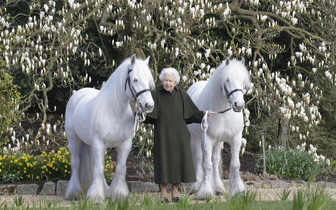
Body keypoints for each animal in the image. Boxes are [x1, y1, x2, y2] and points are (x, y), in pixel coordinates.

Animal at [64, 55, 155, 203]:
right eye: (135, 79)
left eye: (148, 80)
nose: (149, 105)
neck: (115, 111)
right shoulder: (99, 143)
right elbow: (99, 169)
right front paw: (95, 197)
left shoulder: (125, 144)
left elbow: (120, 168)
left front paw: (119, 194)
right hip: (73, 138)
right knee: (76, 163)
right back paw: (74, 193)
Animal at [188, 57, 251, 200]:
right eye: (227, 79)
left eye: (243, 80)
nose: (239, 105)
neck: (223, 113)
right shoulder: (207, 139)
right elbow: (206, 165)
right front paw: (205, 192)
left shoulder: (236, 138)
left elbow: (235, 164)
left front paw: (238, 190)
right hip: (195, 138)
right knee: (199, 158)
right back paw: (196, 186)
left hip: (218, 142)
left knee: (215, 160)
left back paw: (218, 188)